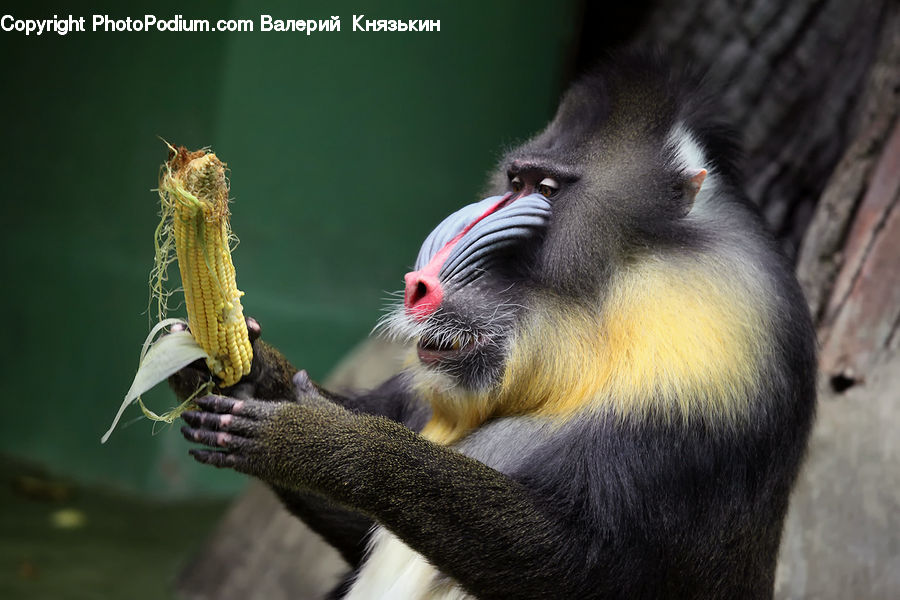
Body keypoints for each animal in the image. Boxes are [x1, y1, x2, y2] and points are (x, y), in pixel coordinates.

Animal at [175, 54, 817, 599]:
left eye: (548, 190)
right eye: (515, 183)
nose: (420, 285)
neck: (610, 305)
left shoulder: (709, 365)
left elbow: (585, 565)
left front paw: (318, 438)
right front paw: (243, 372)